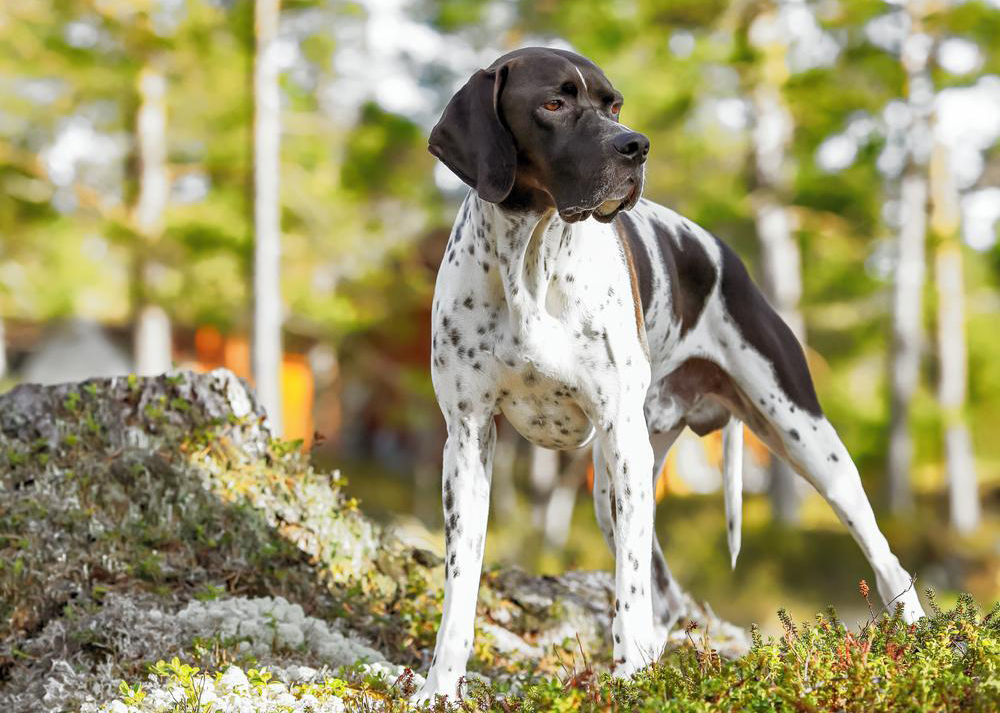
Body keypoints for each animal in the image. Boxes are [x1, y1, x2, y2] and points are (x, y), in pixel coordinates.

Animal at [412, 48, 920, 700]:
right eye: (553, 103)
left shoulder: (620, 435)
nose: (636, 145)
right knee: (668, 594)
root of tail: (726, 254)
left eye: (614, 106)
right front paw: (439, 686)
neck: (532, 258)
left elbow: (628, 588)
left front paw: (628, 679)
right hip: (612, 483)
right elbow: (461, 584)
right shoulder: (469, 438)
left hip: (805, 444)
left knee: (885, 558)